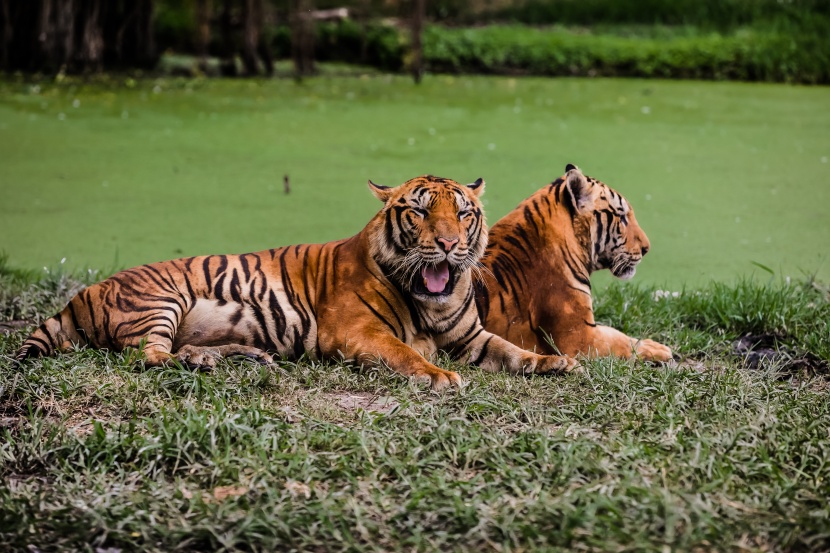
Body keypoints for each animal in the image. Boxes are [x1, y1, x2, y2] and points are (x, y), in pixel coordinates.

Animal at [17, 174, 580, 388]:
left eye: (463, 214)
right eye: (420, 212)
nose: (446, 243)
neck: (433, 302)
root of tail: (83, 292)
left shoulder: (472, 336)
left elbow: (513, 351)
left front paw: (557, 362)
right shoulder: (355, 332)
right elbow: (405, 353)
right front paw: (440, 377)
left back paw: (238, 357)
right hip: (160, 300)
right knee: (148, 356)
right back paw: (202, 361)